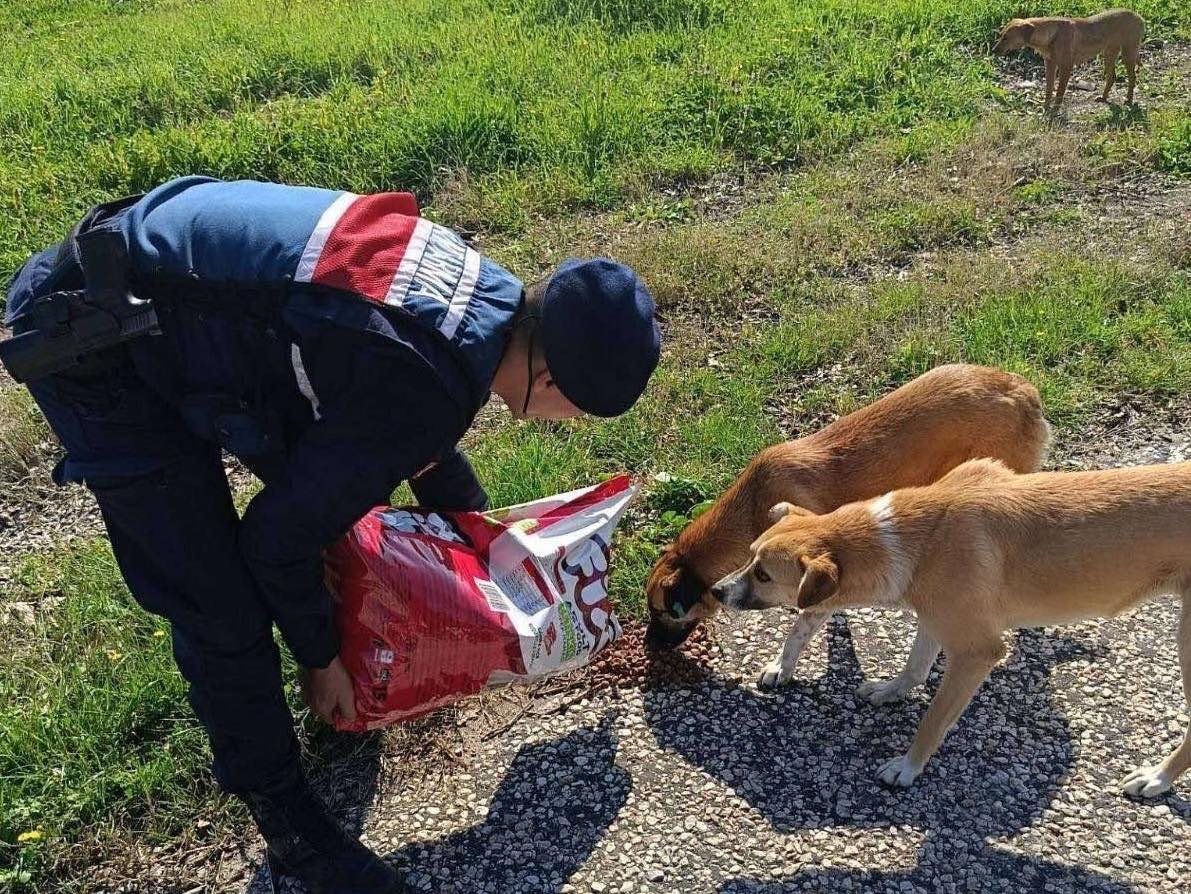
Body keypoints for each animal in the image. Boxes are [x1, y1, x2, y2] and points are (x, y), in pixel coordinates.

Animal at [643, 364, 1052, 699]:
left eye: (662, 612)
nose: (650, 648)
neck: (753, 504)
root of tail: (1024, 389)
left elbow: (796, 632)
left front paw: (780, 667)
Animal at [709, 461, 1191, 795]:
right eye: (748, 555)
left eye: (764, 575)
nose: (716, 590)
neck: (912, 538)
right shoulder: (935, 615)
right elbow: (916, 665)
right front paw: (892, 691)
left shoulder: (977, 652)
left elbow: (933, 719)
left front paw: (908, 767)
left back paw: (1157, 778)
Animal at [990, 8, 1148, 111]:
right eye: (1001, 35)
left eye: (1006, 38)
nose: (993, 50)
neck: (1051, 34)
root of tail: (1139, 17)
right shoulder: (1050, 64)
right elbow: (1049, 89)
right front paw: (1045, 107)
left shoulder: (1066, 67)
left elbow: (1060, 91)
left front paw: (1054, 110)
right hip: (1108, 54)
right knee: (1112, 77)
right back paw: (1103, 98)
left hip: (1128, 53)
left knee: (1132, 77)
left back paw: (1129, 100)